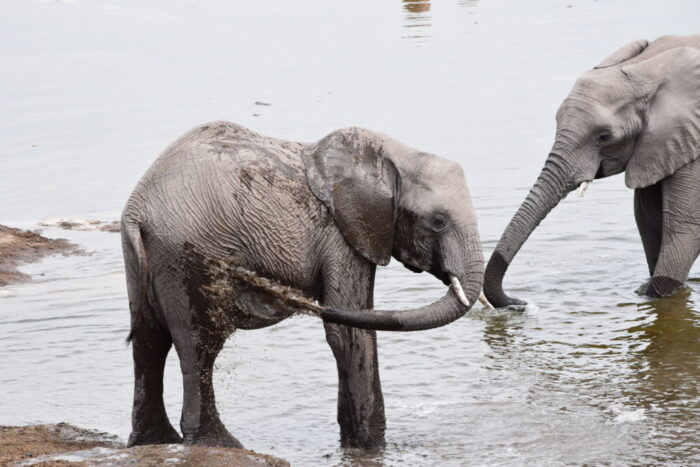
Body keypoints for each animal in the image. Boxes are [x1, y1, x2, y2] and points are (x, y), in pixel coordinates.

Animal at [121, 121, 483, 450]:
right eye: (438, 222)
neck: (391, 156)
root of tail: (138, 211)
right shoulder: (342, 236)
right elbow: (351, 334)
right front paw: (375, 448)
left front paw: (351, 445)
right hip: (188, 255)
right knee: (199, 347)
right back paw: (219, 444)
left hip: (144, 258)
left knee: (149, 341)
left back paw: (154, 441)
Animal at [484, 34, 700, 308]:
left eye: (604, 136)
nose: (521, 302)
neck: (649, 68)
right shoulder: (656, 146)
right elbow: (648, 220)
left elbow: (685, 227)